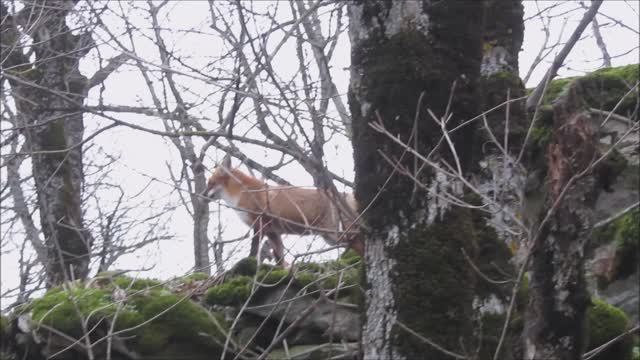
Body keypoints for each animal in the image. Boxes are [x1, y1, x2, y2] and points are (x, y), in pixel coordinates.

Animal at [206, 158, 364, 264]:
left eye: (210, 183)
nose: (203, 194)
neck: (244, 193)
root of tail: (345, 195)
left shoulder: (260, 224)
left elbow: (253, 249)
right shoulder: (273, 232)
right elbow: (279, 258)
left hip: (336, 234)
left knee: (358, 242)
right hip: (330, 237)